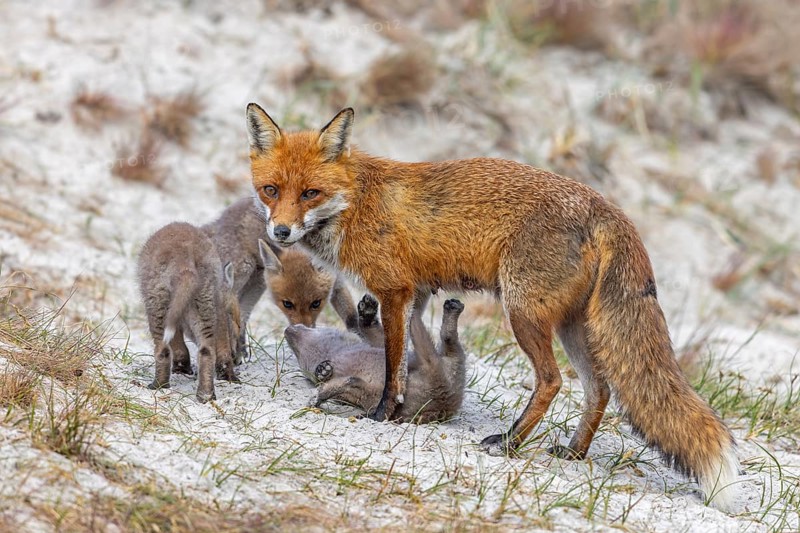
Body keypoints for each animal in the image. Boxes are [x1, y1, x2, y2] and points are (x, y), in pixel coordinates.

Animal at [137, 222, 241, 402]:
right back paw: (206, 395)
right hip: (204, 308)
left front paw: (181, 368)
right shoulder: (218, 313)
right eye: (238, 323)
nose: (239, 359)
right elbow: (221, 349)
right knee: (207, 351)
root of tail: (185, 263)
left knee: (163, 351)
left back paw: (159, 385)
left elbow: (178, 346)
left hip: (157, 309)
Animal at [202, 197, 359, 363]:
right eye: (287, 304)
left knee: (242, 314)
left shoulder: (337, 283)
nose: (304, 332)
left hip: (257, 282)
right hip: (241, 272)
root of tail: (221, 218)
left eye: (316, 303)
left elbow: (352, 319)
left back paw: (241, 353)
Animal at [285, 295, 467, 424]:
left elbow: (374, 332)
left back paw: (451, 308)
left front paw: (367, 311)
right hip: (374, 395)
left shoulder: (380, 347)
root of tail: (443, 398)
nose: (288, 330)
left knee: (448, 339)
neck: (338, 352)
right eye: (301, 360)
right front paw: (322, 371)